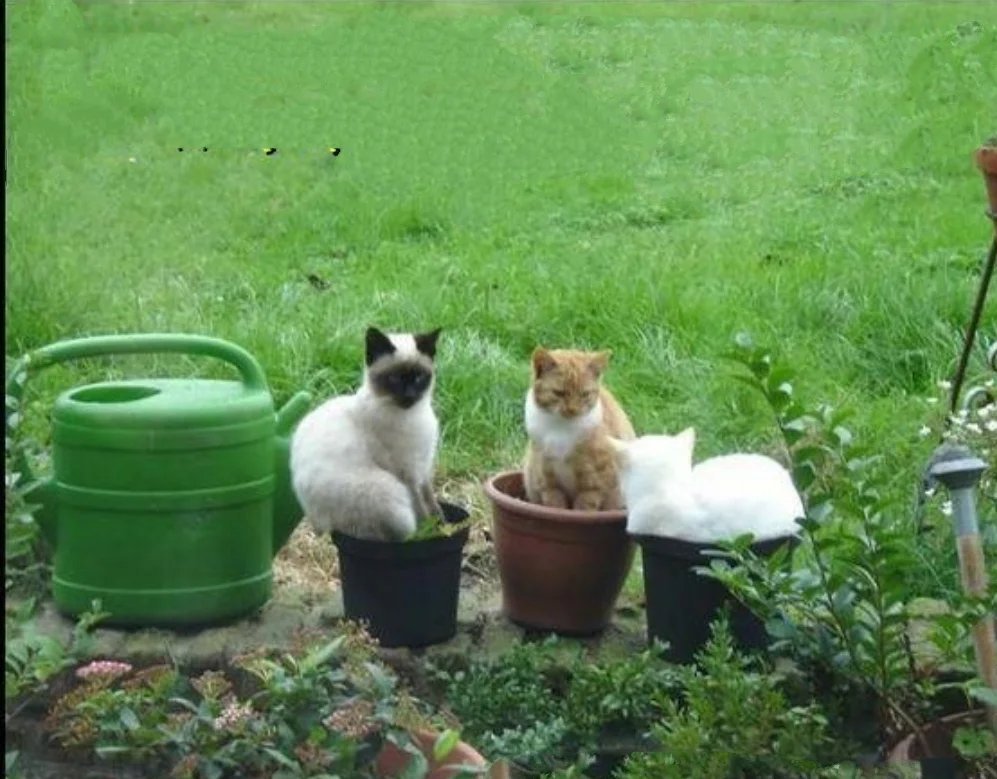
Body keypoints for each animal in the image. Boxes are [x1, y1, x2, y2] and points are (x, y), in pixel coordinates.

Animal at [290, 326, 442, 540]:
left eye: (419, 378)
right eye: (394, 379)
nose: (410, 395)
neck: (413, 415)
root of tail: (320, 528)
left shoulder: (423, 467)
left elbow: (431, 500)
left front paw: (442, 522)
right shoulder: (407, 473)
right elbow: (421, 509)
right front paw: (430, 533)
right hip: (389, 492)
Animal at [524, 348, 636, 512]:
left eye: (585, 394)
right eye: (559, 393)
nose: (572, 410)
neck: (560, 429)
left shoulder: (595, 481)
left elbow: (584, 507)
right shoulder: (548, 481)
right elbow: (555, 506)